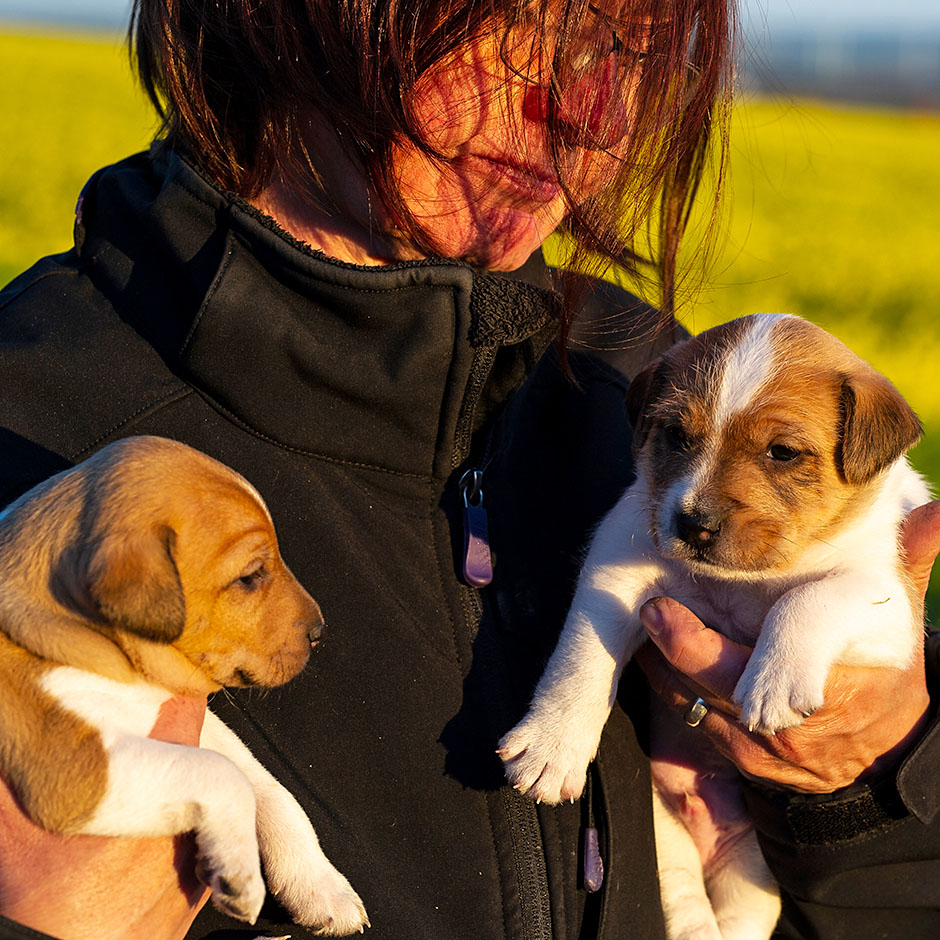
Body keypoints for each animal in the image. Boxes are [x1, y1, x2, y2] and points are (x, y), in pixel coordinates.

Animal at [0, 436, 370, 936]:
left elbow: (267, 785)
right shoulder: (75, 770)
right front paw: (240, 872)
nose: (320, 633)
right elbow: (223, 773)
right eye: (249, 577)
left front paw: (321, 887)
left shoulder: (192, 717)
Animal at [500, 314, 924, 940]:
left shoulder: (891, 611)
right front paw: (553, 746)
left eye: (782, 453)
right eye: (676, 436)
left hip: (751, 877)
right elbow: (580, 659)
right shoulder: (616, 565)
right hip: (667, 851)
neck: (746, 578)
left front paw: (772, 680)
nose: (693, 523)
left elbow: (809, 594)